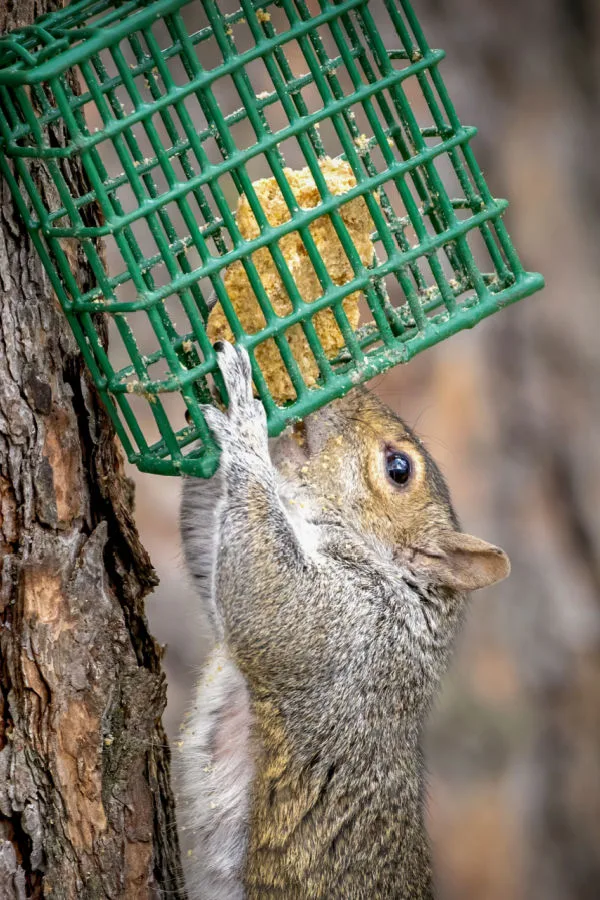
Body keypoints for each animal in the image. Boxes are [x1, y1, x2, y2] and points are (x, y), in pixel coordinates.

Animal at [178, 340, 510, 900]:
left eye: (398, 468)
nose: (347, 391)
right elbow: (207, 552)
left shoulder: (350, 628)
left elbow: (262, 594)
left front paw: (244, 423)